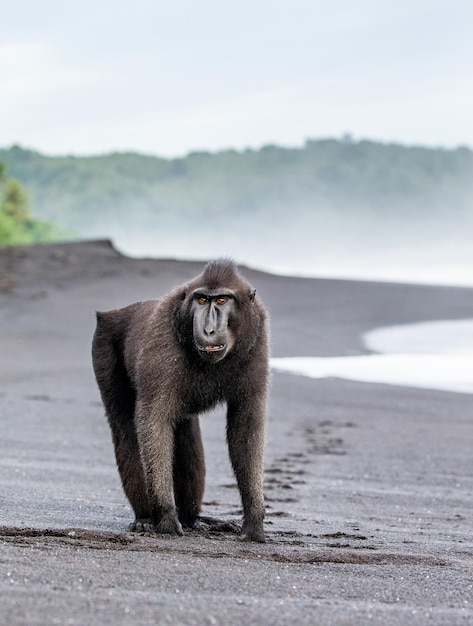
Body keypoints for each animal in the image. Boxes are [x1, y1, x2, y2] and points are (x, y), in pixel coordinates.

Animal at [92, 258, 270, 540]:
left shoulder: (257, 341)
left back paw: (192, 518)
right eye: (202, 300)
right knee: (126, 430)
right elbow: (154, 422)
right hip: (104, 344)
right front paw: (165, 516)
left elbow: (246, 427)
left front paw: (253, 521)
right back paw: (146, 517)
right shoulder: (162, 342)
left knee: (187, 435)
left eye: (222, 300)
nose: (208, 329)